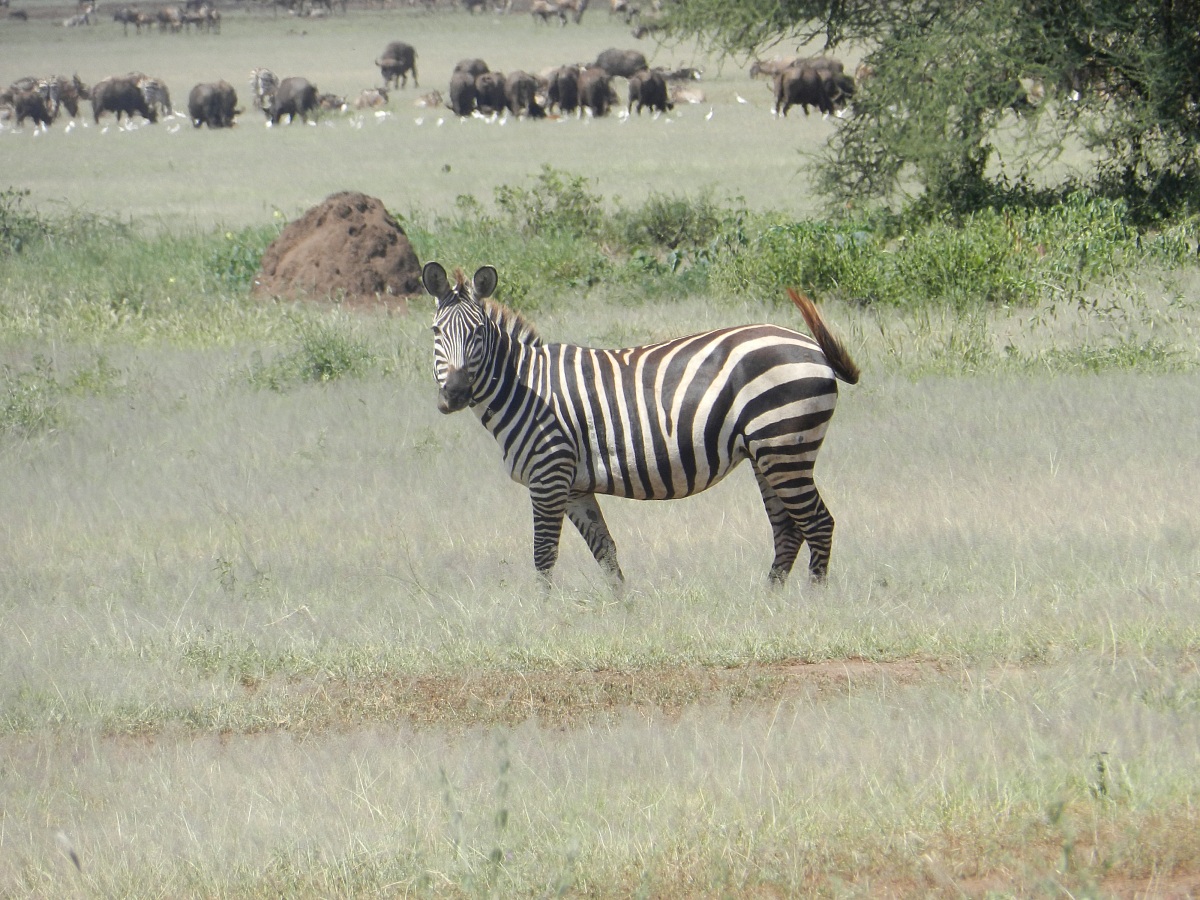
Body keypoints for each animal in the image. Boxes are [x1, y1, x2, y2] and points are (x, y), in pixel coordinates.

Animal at [423, 262, 860, 587]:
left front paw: (542, 618)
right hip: (767, 453)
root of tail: (812, 347)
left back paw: (812, 600)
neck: (524, 387)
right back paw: (770, 602)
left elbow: (544, 555)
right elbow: (605, 550)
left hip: (785, 445)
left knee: (818, 523)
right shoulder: (574, 486)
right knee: (788, 530)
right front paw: (624, 610)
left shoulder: (549, 475)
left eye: (479, 332)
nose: (454, 396)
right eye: (436, 332)